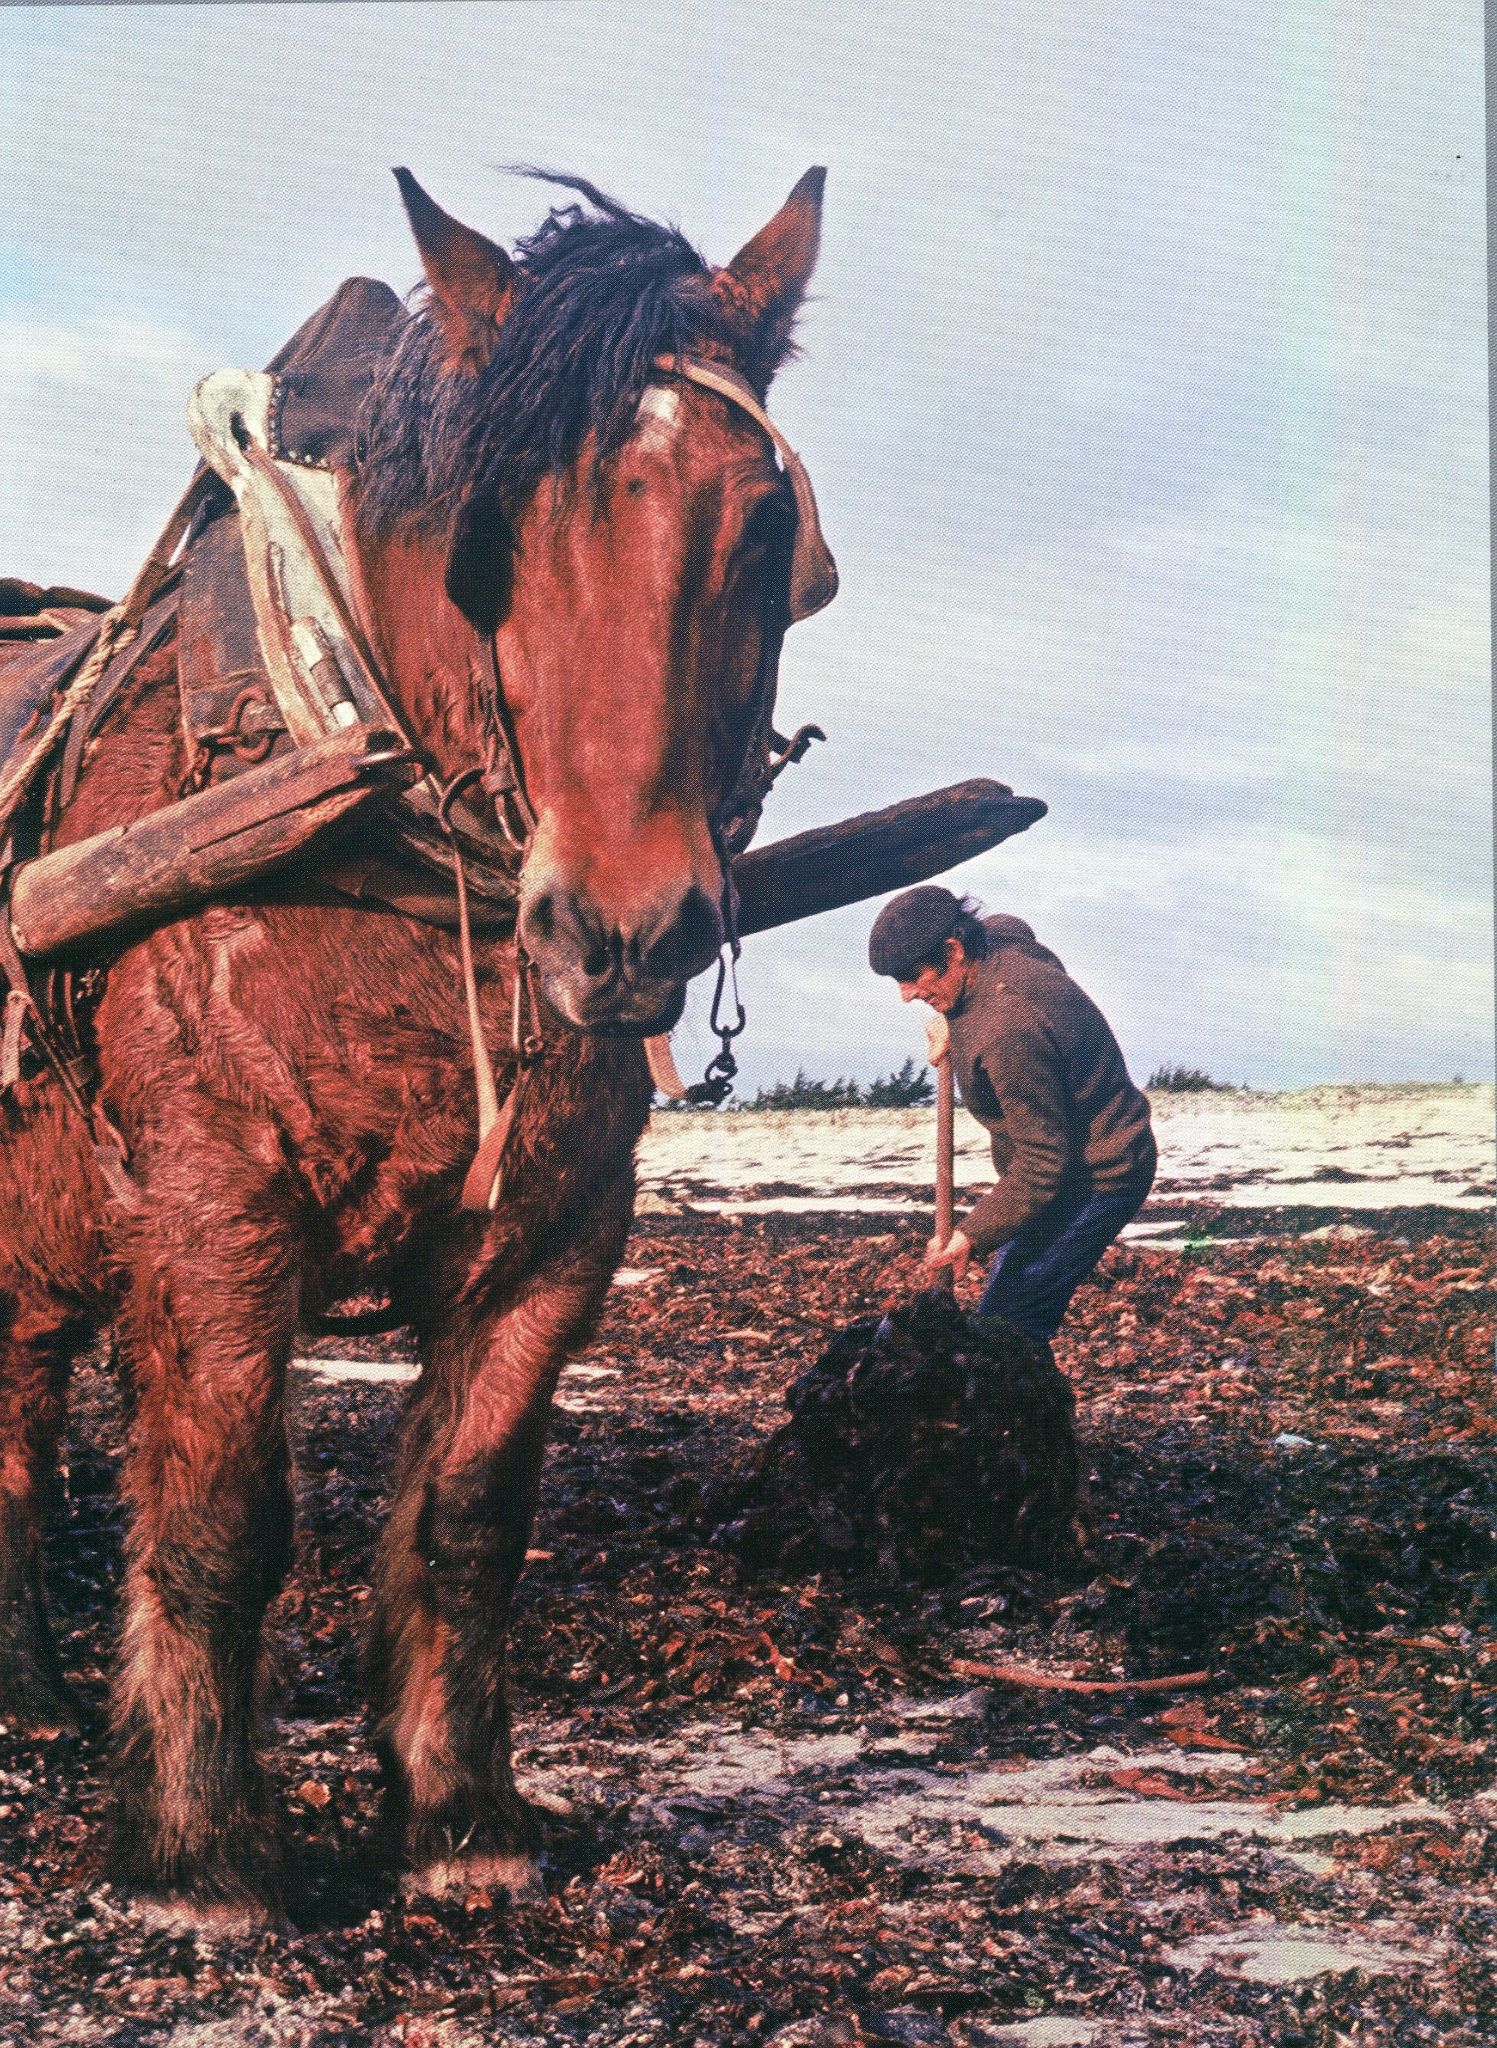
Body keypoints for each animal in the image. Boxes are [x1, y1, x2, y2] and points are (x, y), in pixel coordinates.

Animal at [0, 165, 834, 1923]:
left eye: (765, 530)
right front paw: (196, 1849)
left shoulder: (557, 1237)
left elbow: (466, 1523)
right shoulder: (213, 1221)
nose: (624, 932)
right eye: (485, 536)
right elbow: (218, 1524)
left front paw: (461, 1823)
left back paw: (26, 1694)